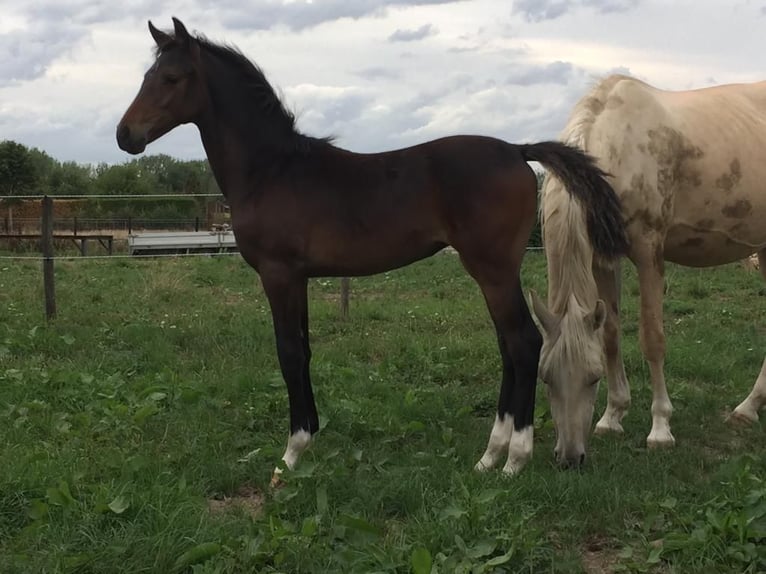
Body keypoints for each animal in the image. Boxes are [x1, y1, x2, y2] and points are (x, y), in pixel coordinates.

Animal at [118, 15, 632, 480]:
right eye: (146, 76)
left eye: (172, 78)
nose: (125, 136)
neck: (273, 171)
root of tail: (516, 149)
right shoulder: (299, 278)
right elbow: (304, 350)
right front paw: (311, 434)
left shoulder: (278, 274)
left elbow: (287, 353)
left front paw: (291, 454)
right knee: (510, 346)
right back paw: (489, 457)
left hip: (492, 269)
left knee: (523, 343)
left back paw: (513, 459)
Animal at [536, 74, 766, 468]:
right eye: (546, 378)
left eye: (593, 378)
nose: (570, 458)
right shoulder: (602, 260)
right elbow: (611, 335)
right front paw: (612, 417)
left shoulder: (648, 253)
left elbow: (652, 339)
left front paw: (660, 429)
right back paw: (748, 408)